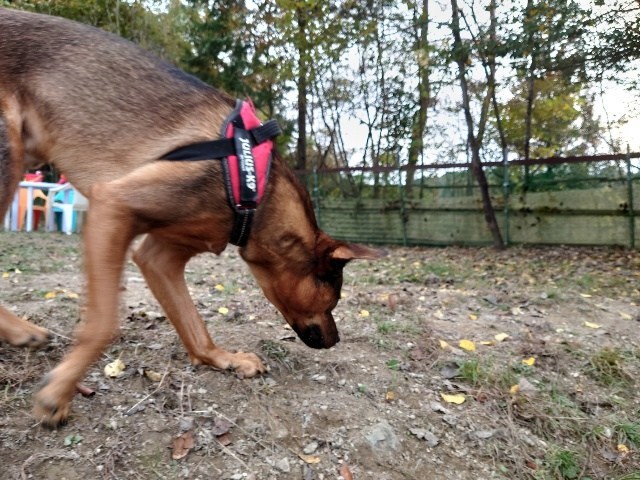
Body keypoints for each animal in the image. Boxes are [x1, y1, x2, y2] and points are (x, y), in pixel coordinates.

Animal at [0, 7, 380, 428]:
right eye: (333, 302)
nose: (337, 339)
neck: (256, 191)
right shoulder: (113, 207)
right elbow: (103, 324)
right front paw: (57, 393)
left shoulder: (158, 257)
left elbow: (194, 326)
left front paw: (223, 359)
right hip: (8, 156)